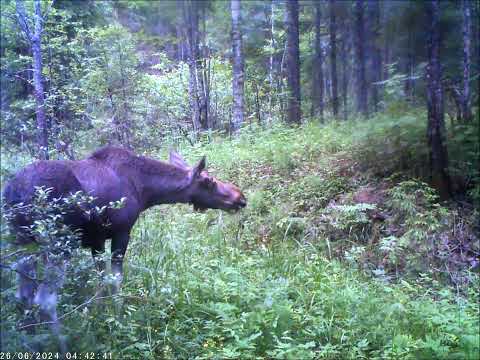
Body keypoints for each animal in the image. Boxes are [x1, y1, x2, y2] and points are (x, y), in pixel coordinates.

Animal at [3, 147, 249, 344]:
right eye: (209, 181)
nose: (240, 197)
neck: (145, 191)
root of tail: (13, 196)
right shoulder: (121, 232)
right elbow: (115, 279)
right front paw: (118, 320)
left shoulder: (97, 240)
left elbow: (100, 280)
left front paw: (98, 316)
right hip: (58, 244)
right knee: (45, 299)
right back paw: (61, 344)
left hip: (23, 242)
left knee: (24, 294)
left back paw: (30, 337)